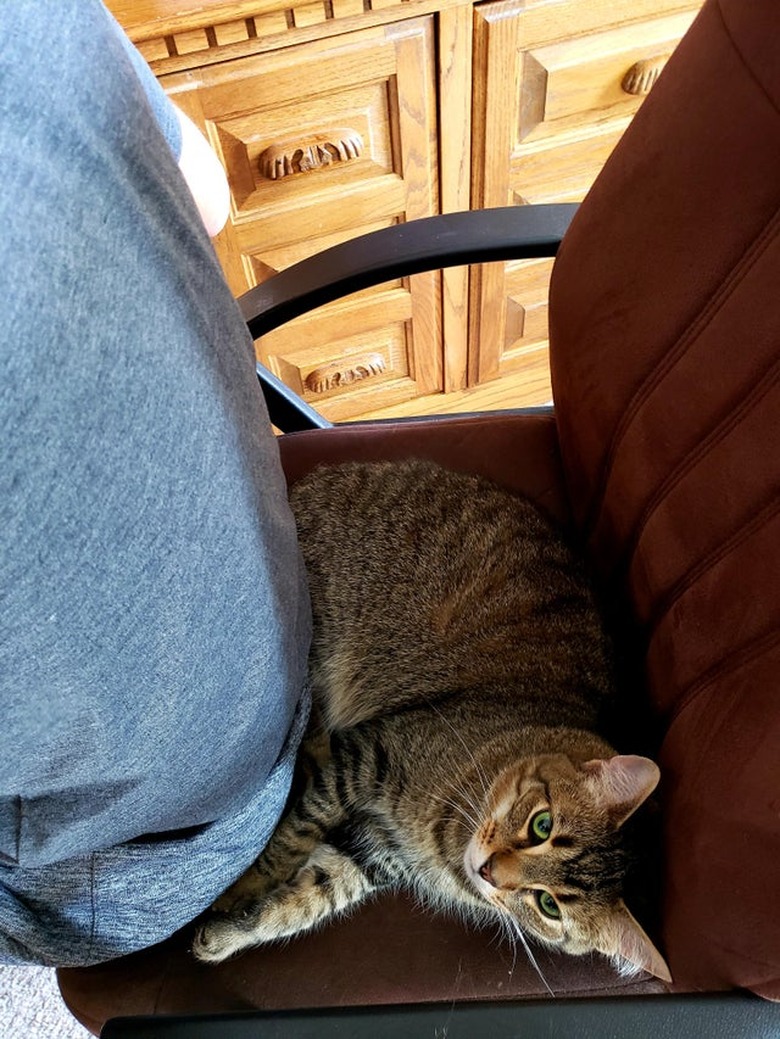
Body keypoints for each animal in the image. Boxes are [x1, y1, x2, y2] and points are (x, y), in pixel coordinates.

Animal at [194, 457, 673, 980]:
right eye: (542, 826)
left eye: (548, 905)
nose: (488, 871)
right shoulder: (370, 754)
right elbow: (296, 833)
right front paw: (241, 887)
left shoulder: (372, 852)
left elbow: (302, 901)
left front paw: (230, 932)